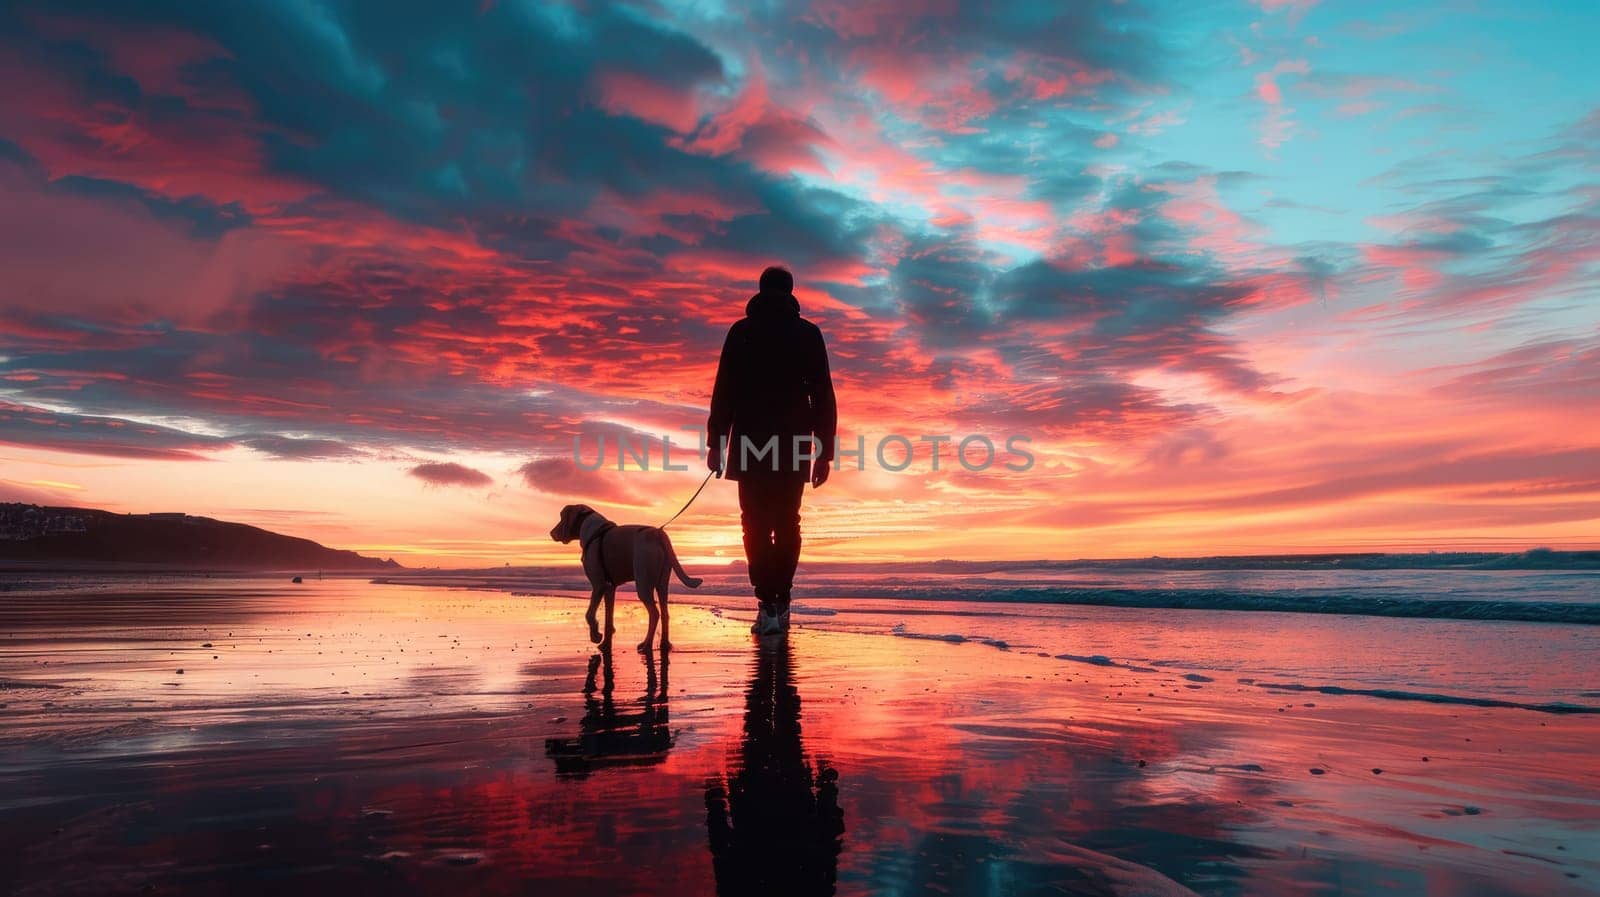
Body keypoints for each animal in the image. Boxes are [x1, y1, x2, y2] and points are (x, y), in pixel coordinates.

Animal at [550, 505, 700, 649]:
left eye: (562, 517)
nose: (551, 533)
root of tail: (657, 534)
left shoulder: (598, 585)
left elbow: (589, 615)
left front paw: (596, 636)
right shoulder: (609, 588)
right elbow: (608, 618)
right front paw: (605, 643)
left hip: (643, 584)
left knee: (654, 614)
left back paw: (647, 643)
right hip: (662, 584)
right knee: (665, 613)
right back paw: (664, 643)